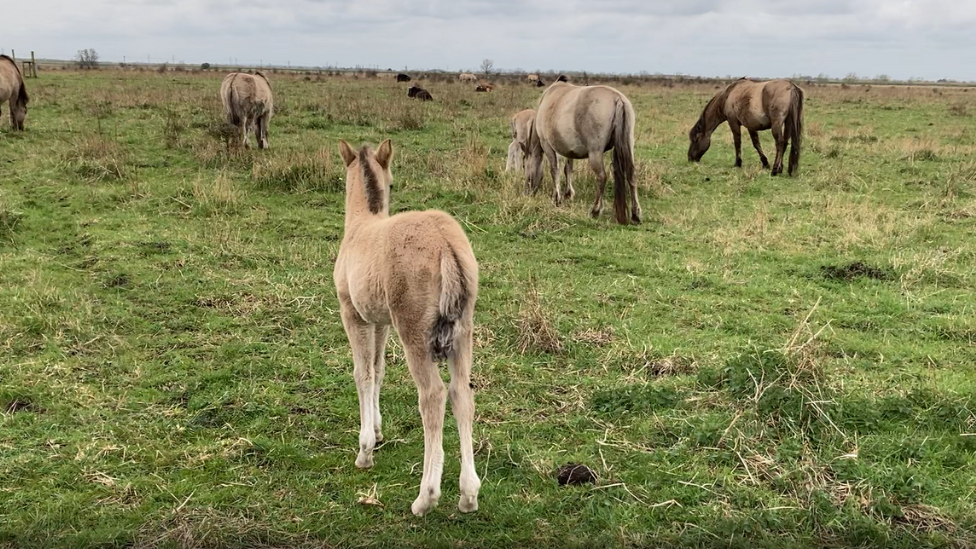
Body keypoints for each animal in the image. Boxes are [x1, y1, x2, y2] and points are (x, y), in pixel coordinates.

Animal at [334, 139, 482, 516]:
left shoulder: (352, 314)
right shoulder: (380, 321)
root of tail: (445, 246)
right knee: (462, 393)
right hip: (463, 332)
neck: (360, 227)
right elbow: (378, 370)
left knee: (433, 396)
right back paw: (468, 494)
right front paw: (377, 431)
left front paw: (365, 450)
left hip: (414, 333)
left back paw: (425, 497)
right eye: (393, 181)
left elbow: (362, 373)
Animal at [528, 79, 640, 225]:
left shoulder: (547, 145)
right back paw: (635, 214)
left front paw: (557, 198)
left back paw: (595, 210)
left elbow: (554, 170)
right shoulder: (568, 150)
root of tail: (617, 98)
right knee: (632, 175)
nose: (529, 192)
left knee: (601, 176)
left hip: (595, 153)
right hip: (628, 147)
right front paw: (568, 194)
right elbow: (567, 169)